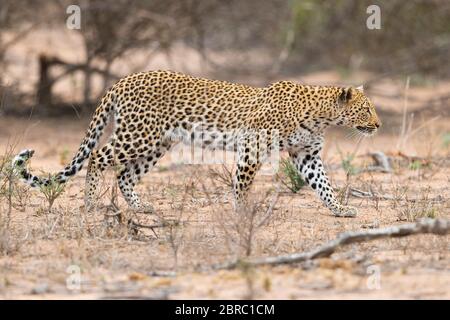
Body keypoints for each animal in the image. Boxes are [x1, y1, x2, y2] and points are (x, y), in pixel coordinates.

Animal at [12, 70, 380, 218]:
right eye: (366, 109)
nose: (379, 124)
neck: (322, 116)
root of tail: (124, 79)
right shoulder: (252, 147)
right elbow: (242, 185)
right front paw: (241, 214)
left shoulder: (307, 155)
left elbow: (324, 186)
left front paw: (340, 209)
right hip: (136, 135)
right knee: (98, 157)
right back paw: (89, 204)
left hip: (158, 143)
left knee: (125, 175)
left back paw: (140, 207)